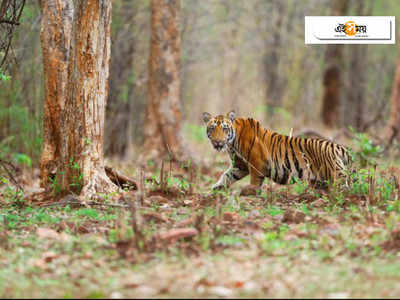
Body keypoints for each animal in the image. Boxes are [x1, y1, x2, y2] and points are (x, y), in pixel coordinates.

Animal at [202, 110, 352, 190]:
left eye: (224, 129)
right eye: (212, 128)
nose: (217, 141)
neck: (232, 143)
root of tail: (337, 146)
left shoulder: (257, 164)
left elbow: (254, 183)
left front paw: (251, 194)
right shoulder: (240, 166)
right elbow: (226, 176)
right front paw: (215, 191)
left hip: (335, 174)